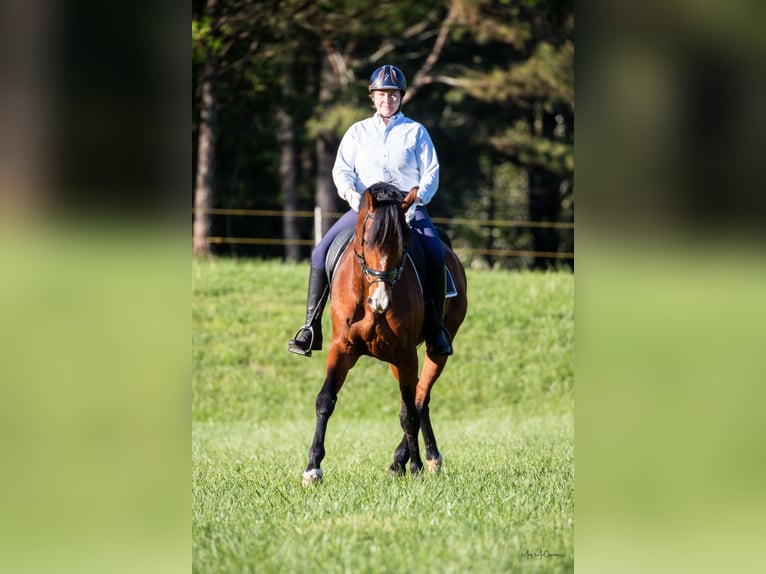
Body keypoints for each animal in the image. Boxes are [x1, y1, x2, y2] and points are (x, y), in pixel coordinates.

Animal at [302, 182, 468, 486]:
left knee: (420, 397)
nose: (380, 301)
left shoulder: (405, 354)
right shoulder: (342, 348)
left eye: (403, 246)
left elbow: (408, 412)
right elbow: (325, 400)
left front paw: (414, 466)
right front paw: (312, 469)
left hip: (434, 349)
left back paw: (410, 460)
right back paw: (422, 459)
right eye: (367, 242)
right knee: (419, 398)